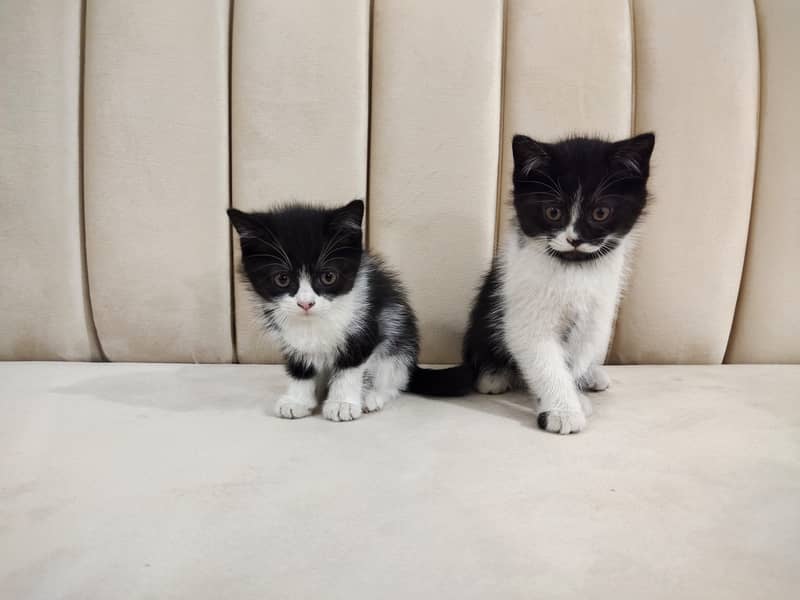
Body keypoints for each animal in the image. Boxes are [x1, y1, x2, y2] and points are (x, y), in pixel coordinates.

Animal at [228, 199, 460, 420]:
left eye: (328, 276)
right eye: (282, 279)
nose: (305, 303)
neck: (316, 320)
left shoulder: (367, 323)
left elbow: (350, 367)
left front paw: (342, 404)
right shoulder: (291, 337)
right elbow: (301, 364)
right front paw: (297, 400)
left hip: (399, 333)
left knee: (394, 374)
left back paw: (372, 395)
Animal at [412, 132, 656, 432]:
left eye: (601, 213)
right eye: (553, 212)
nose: (574, 239)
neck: (572, 268)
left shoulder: (596, 312)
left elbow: (575, 356)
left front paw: (574, 396)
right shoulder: (524, 306)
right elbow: (545, 359)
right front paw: (563, 411)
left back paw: (591, 376)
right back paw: (493, 376)